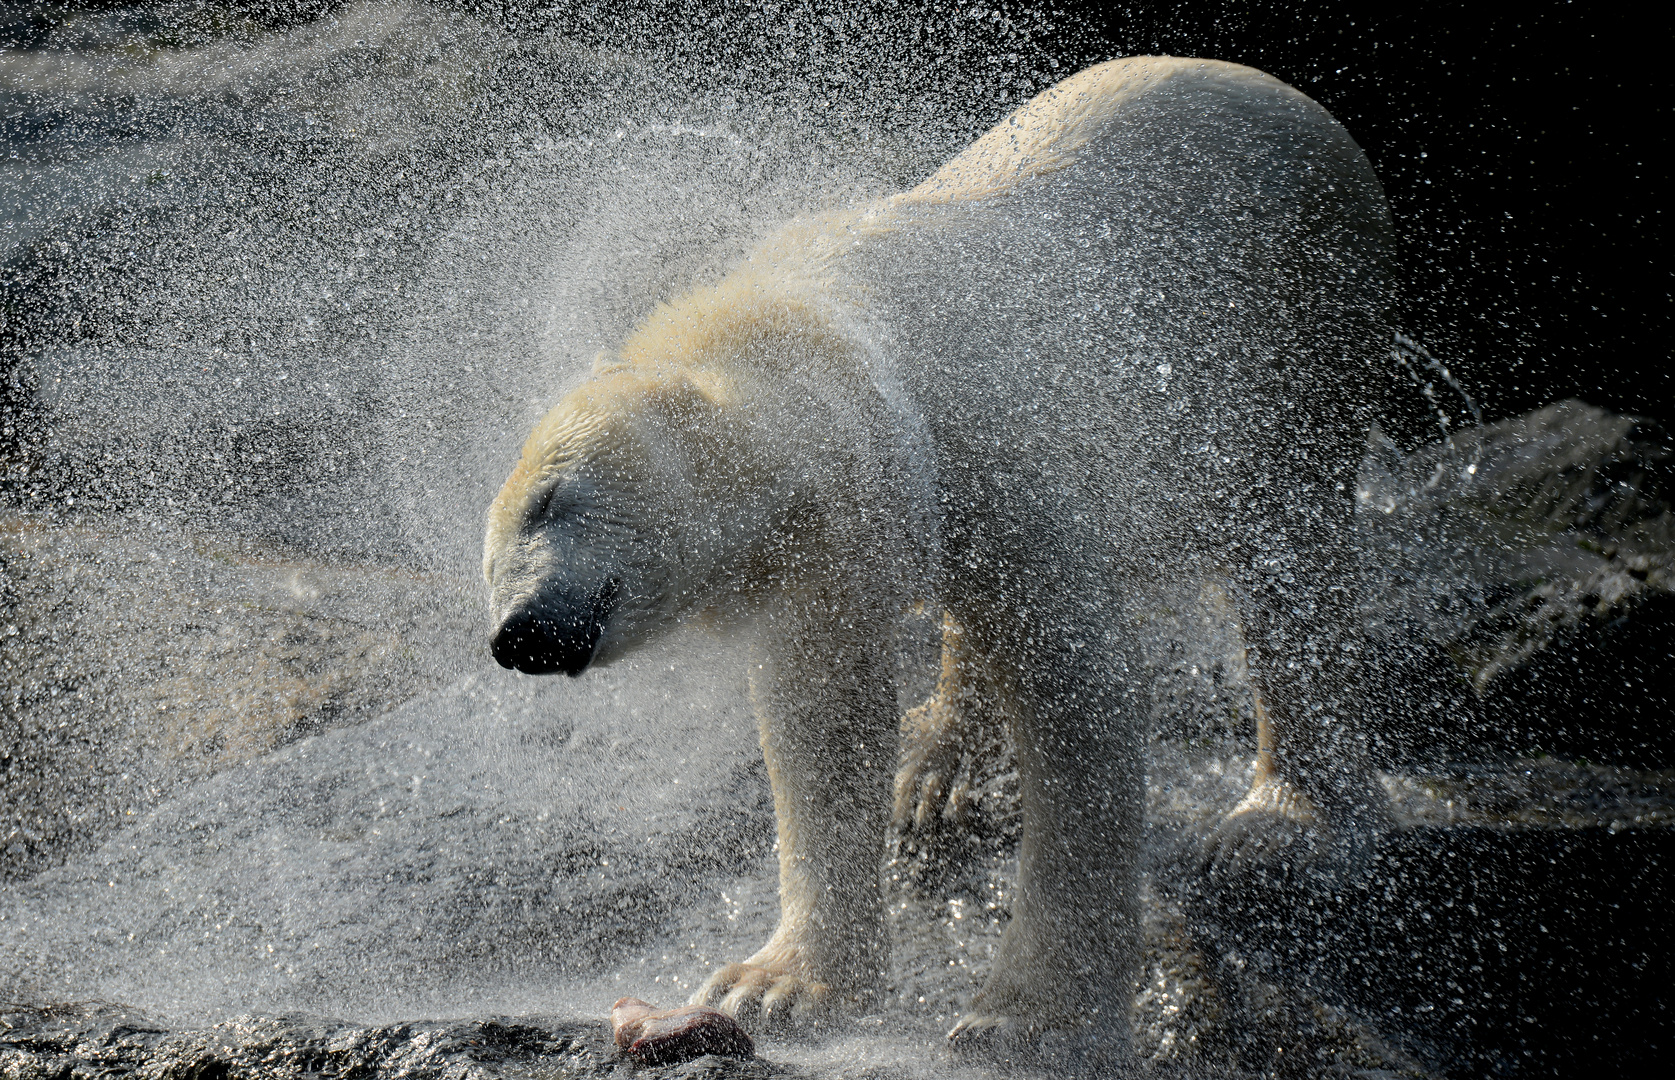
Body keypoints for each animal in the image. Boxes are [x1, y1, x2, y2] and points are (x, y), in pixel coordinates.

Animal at [489, 56, 1400, 1051]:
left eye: (549, 500)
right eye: (488, 560)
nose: (517, 634)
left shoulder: (997, 443)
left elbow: (1075, 699)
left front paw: (1026, 1014)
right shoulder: (837, 553)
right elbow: (823, 722)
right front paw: (775, 985)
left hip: (1296, 336)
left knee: (1291, 555)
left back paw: (1279, 822)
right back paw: (932, 761)